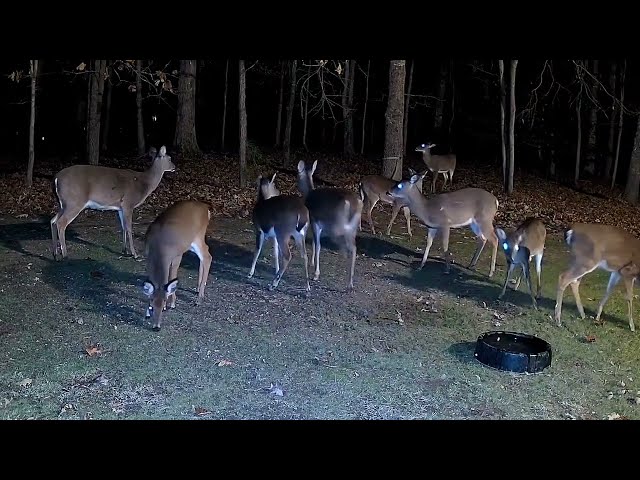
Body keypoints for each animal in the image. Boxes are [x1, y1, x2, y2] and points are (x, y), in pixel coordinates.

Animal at [142, 200, 213, 331]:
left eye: (163, 303)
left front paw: (172, 304)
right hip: (191, 243)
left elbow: (171, 277)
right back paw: (198, 289)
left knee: (207, 256)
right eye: (152, 306)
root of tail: (206, 208)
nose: (156, 327)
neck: (159, 247)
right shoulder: (147, 257)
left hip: (198, 237)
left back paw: (199, 299)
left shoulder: (176, 255)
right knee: (204, 255)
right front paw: (147, 313)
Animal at [296, 160, 364, 291]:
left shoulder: (314, 220)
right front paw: (312, 263)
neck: (309, 193)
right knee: (354, 248)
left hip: (339, 224)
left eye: (297, 175)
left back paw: (348, 280)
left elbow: (318, 245)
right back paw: (351, 282)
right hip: (353, 227)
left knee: (348, 246)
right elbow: (314, 242)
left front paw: (316, 274)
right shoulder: (318, 224)